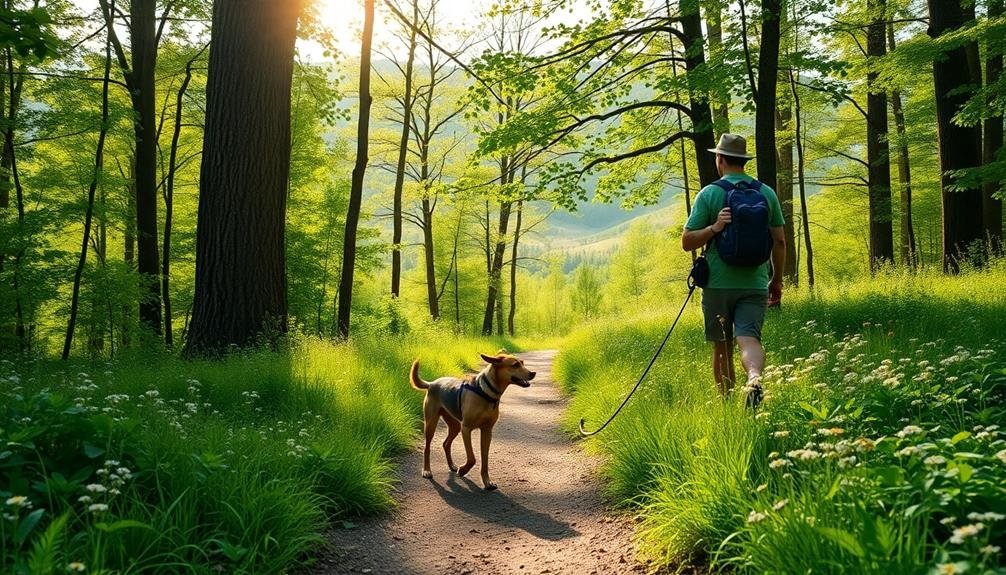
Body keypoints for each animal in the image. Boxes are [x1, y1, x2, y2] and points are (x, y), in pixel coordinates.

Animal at [406, 349, 535, 490]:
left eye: (522, 363)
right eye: (515, 365)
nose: (533, 373)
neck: (486, 392)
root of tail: (432, 383)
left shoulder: (487, 431)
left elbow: (485, 460)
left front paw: (487, 482)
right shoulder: (466, 429)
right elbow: (472, 458)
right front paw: (463, 470)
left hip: (455, 426)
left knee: (446, 444)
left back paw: (452, 465)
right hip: (431, 424)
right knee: (427, 447)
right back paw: (427, 470)